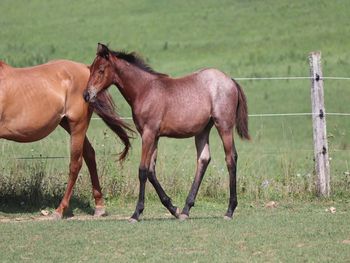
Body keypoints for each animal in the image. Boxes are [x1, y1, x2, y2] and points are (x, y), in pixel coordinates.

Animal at [0, 59, 131, 221]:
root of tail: (86, 69)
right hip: (67, 124)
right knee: (90, 155)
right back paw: (99, 207)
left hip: (78, 125)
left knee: (76, 163)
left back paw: (59, 210)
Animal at [83, 43, 250, 223]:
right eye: (91, 69)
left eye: (101, 70)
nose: (86, 95)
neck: (145, 90)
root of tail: (230, 80)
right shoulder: (154, 136)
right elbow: (151, 171)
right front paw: (173, 208)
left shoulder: (148, 134)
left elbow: (142, 170)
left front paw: (136, 213)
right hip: (203, 130)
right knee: (203, 159)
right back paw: (185, 210)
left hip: (224, 126)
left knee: (230, 158)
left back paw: (229, 210)